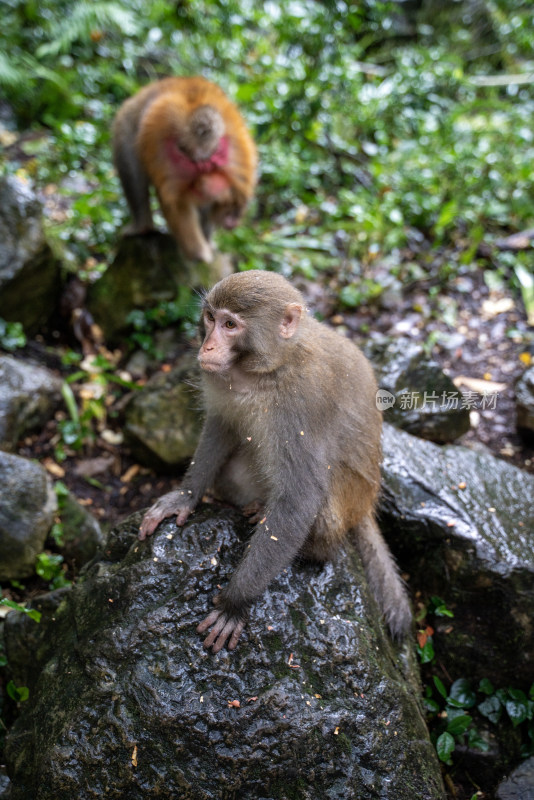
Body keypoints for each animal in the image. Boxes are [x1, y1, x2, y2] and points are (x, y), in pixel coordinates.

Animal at [139, 268, 414, 648]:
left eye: (230, 325)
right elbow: (222, 426)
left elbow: (300, 498)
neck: (267, 368)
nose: (207, 346)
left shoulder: (301, 403)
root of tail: (365, 506)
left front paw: (234, 604)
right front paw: (184, 496)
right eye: (210, 318)